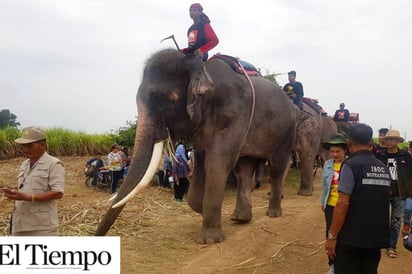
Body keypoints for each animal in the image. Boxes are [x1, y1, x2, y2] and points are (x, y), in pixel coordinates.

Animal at [95, 49, 298, 244]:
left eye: (161, 98)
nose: (97, 236)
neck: (200, 66)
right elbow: (201, 161)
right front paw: (200, 207)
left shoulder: (233, 114)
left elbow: (217, 162)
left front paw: (208, 239)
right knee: (244, 170)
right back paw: (240, 218)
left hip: (287, 131)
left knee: (277, 167)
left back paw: (273, 214)